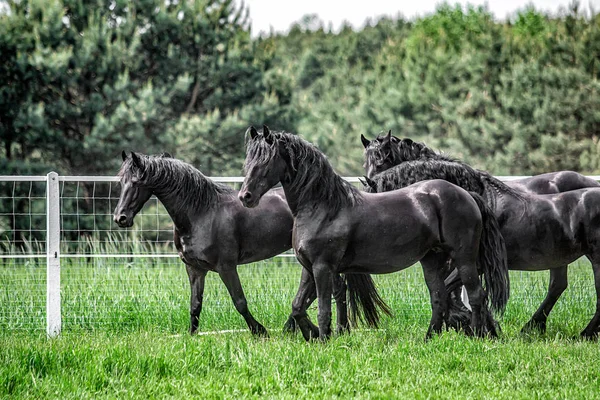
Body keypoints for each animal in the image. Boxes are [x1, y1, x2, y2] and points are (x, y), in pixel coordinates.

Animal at [112, 152, 376, 336]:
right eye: (120, 182)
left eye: (135, 183)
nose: (120, 218)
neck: (201, 212)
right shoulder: (195, 269)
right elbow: (195, 305)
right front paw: (191, 336)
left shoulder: (226, 267)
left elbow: (239, 302)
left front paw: (260, 331)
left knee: (333, 290)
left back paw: (329, 330)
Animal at [237, 126, 508, 340]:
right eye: (248, 161)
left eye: (265, 162)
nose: (245, 197)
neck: (324, 206)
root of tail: (467, 194)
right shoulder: (308, 267)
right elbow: (298, 306)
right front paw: (313, 334)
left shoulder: (323, 267)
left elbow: (323, 309)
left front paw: (323, 339)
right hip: (432, 259)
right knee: (439, 297)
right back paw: (430, 338)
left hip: (464, 258)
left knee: (475, 295)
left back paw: (476, 335)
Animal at [364, 132, 600, 338]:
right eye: (365, 162)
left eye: (382, 160)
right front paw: (473, 325)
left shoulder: (470, 262)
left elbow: (455, 291)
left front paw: (476, 326)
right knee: (557, 286)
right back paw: (536, 326)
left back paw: (580, 332)